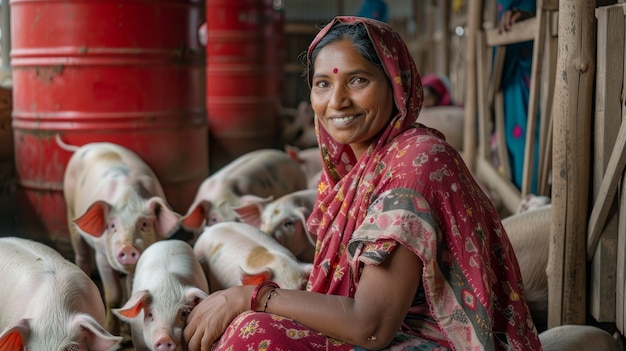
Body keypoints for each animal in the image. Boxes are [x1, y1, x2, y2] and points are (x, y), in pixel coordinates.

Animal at [62, 142, 182, 334]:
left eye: (144, 224)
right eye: (112, 226)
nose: (127, 247)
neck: (129, 197)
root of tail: (86, 147)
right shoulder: (102, 254)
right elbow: (113, 295)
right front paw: (112, 332)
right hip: (70, 210)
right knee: (82, 255)